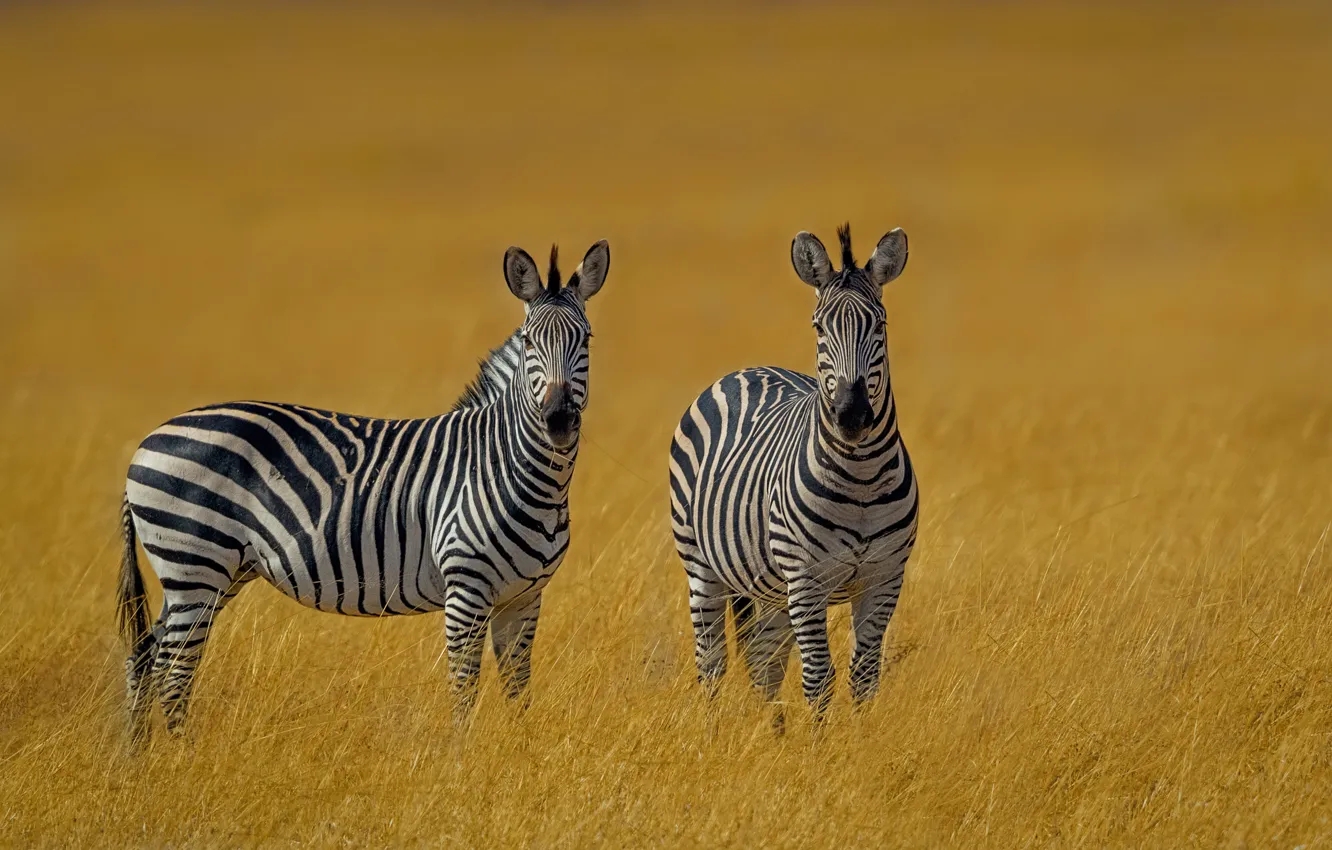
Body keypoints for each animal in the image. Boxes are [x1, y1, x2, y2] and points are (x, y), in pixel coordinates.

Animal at [116, 239, 610, 743]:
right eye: (529, 341)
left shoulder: (524, 595)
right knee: (174, 671)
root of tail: (148, 440)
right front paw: (462, 754)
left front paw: (519, 748)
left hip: (213, 573)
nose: (558, 421)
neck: (516, 470)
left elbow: (518, 689)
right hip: (194, 564)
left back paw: (137, 755)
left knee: (146, 655)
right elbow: (464, 688)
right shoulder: (465, 588)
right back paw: (182, 754)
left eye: (587, 339)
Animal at [668, 224, 917, 728]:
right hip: (701, 565)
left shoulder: (885, 577)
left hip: (770, 587)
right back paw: (712, 733)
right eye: (819, 327)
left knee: (764, 663)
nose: (851, 415)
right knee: (712, 662)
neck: (862, 478)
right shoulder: (806, 578)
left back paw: (772, 734)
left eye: (880, 325)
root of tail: (745, 369)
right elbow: (818, 678)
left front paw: (860, 742)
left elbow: (865, 676)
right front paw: (821, 747)